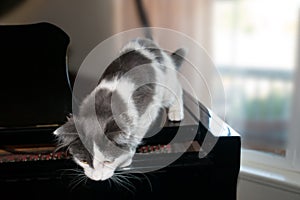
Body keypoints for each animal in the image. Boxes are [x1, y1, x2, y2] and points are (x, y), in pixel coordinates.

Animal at [54, 37, 185, 181]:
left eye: (108, 161)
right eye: (84, 161)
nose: (97, 178)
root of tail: (148, 43)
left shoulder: (147, 109)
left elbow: (137, 134)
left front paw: (127, 157)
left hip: (166, 85)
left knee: (178, 89)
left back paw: (176, 112)